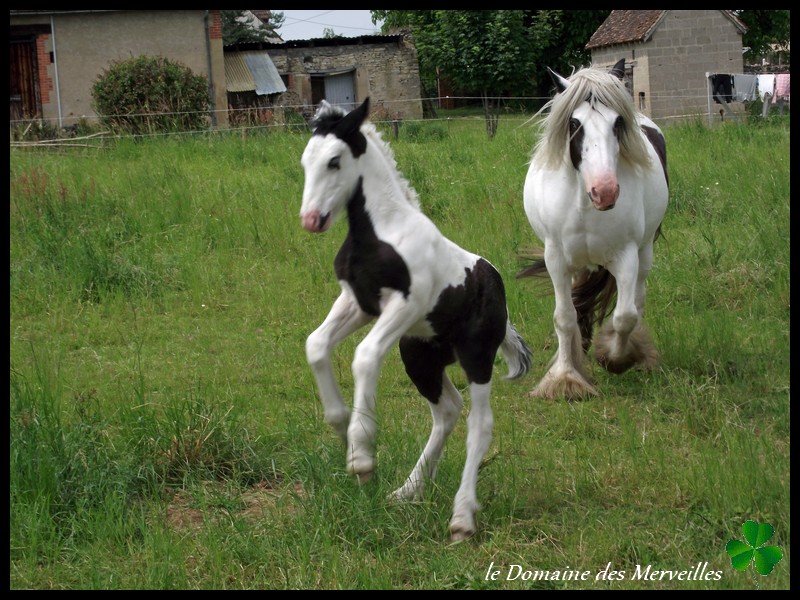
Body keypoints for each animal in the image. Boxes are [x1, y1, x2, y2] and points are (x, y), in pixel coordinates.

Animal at [298, 97, 532, 540]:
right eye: (305, 161)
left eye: (335, 161)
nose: (311, 220)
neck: (381, 232)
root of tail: (495, 281)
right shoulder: (357, 302)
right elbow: (316, 344)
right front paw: (341, 425)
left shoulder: (406, 303)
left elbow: (365, 356)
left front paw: (362, 453)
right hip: (419, 356)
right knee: (448, 410)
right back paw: (409, 490)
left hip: (476, 356)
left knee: (480, 424)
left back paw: (462, 517)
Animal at [520, 59, 668, 398]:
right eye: (575, 124)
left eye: (617, 123)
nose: (606, 192)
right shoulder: (556, 259)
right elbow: (565, 316)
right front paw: (565, 377)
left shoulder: (626, 255)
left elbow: (625, 316)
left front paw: (614, 357)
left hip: (644, 253)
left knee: (637, 300)